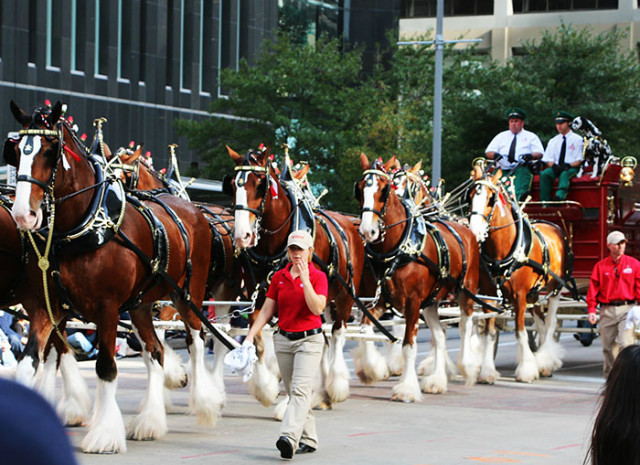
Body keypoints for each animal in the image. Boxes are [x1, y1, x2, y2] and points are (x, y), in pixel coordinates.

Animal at [8, 99, 218, 452]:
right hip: (141, 305)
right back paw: (149, 421)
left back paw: (204, 401)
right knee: (155, 352)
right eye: (15, 150)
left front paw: (104, 435)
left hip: (187, 293)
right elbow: (31, 361)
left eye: (49, 151)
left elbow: (105, 367)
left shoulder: (106, 309)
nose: (24, 214)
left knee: (196, 339)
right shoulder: (49, 307)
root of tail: (193, 211)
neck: (84, 226)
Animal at [228, 145, 362, 406]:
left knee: (337, 335)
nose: (242, 236)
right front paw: (266, 386)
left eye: (259, 184)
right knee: (324, 337)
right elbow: (260, 339)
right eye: (232, 184)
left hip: (344, 295)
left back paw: (335, 386)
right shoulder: (260, 295)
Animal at [352, 153, 482, 398]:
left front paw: (406, 389)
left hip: (466, 292)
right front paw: (372, 369)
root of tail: (466, 229)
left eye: (384, 190)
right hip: (431, 302)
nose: (367, 231)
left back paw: (468, 367)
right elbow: (366, 328)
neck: (400, 247)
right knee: (439, 336)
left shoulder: (412, 303)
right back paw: (437, 380)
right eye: (360, 188)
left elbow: (408, 346)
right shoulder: (382, 300)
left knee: (464, 327)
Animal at [468, 165, 568, 382]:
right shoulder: (489, 296)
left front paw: (526, 370)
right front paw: (487, 371)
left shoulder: (519, 296)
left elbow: (520, 331)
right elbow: (489, 332)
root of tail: (554, 225)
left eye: (491, 198)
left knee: (550, 322)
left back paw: (546, 361)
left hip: (555, 288)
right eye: (470, 196)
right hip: (534, 293)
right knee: (540, 321)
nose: (475, 232)